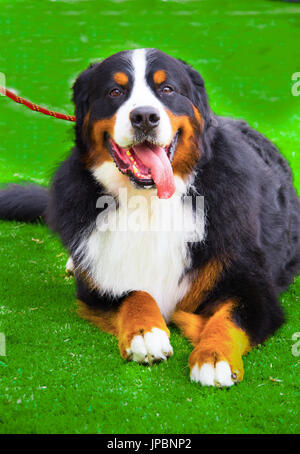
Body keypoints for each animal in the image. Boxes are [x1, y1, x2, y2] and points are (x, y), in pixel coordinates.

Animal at [0, 48, 300, 386]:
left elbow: (227, 318)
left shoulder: (252, 287)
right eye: (115, 91)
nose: (144, 116)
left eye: (166, 89)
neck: (149, 201)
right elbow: (133, 293)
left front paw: (213, 357)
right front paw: (146, 333)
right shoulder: (99, 282)